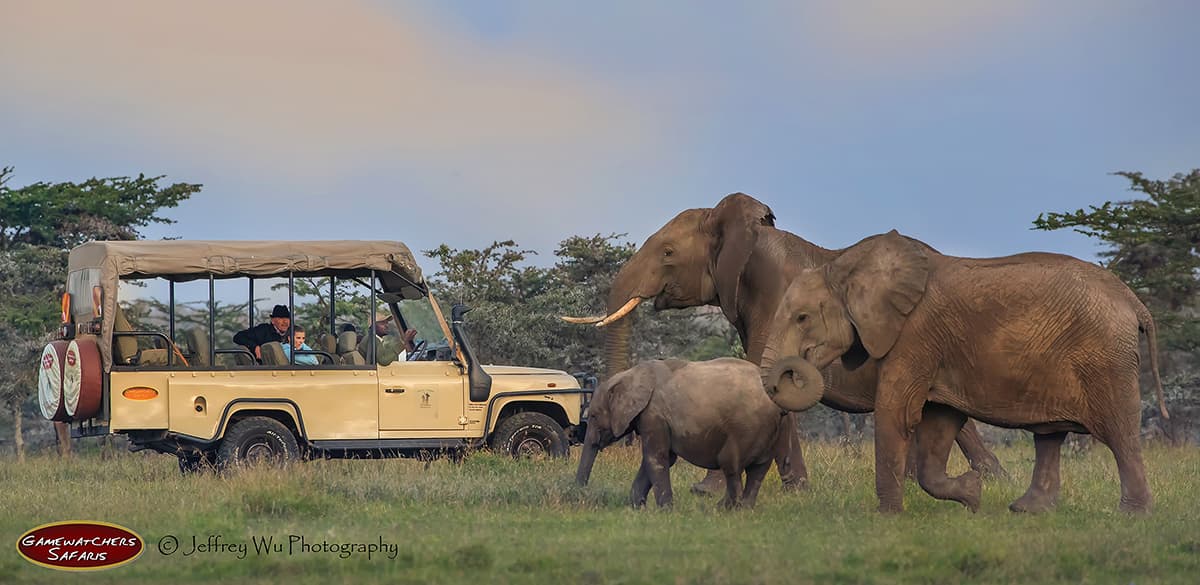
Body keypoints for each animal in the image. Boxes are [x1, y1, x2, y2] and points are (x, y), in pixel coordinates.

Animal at [573, 357, 820, 508]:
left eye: (593, 416)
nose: (578, 495)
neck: (630, 374)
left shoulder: (654, 415)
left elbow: (656, 458)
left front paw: (665, 511)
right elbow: (661, 458)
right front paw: (635, 508)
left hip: (747, 428)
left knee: (731, 465)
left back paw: (725, 509)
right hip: (770, 431)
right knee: (758, 470)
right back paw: (744, 508)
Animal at [763, 231, 1166, 513]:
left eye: (802, 318)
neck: (845, 264)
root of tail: (1134, 301)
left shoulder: (914, 336)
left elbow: (896, 412)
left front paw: (888, 516)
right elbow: (939, 425)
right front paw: (973, 495)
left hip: (1104, 360)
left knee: (1119, 434)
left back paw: (1132, 515)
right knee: (1049, 436)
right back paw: (1028, 510)